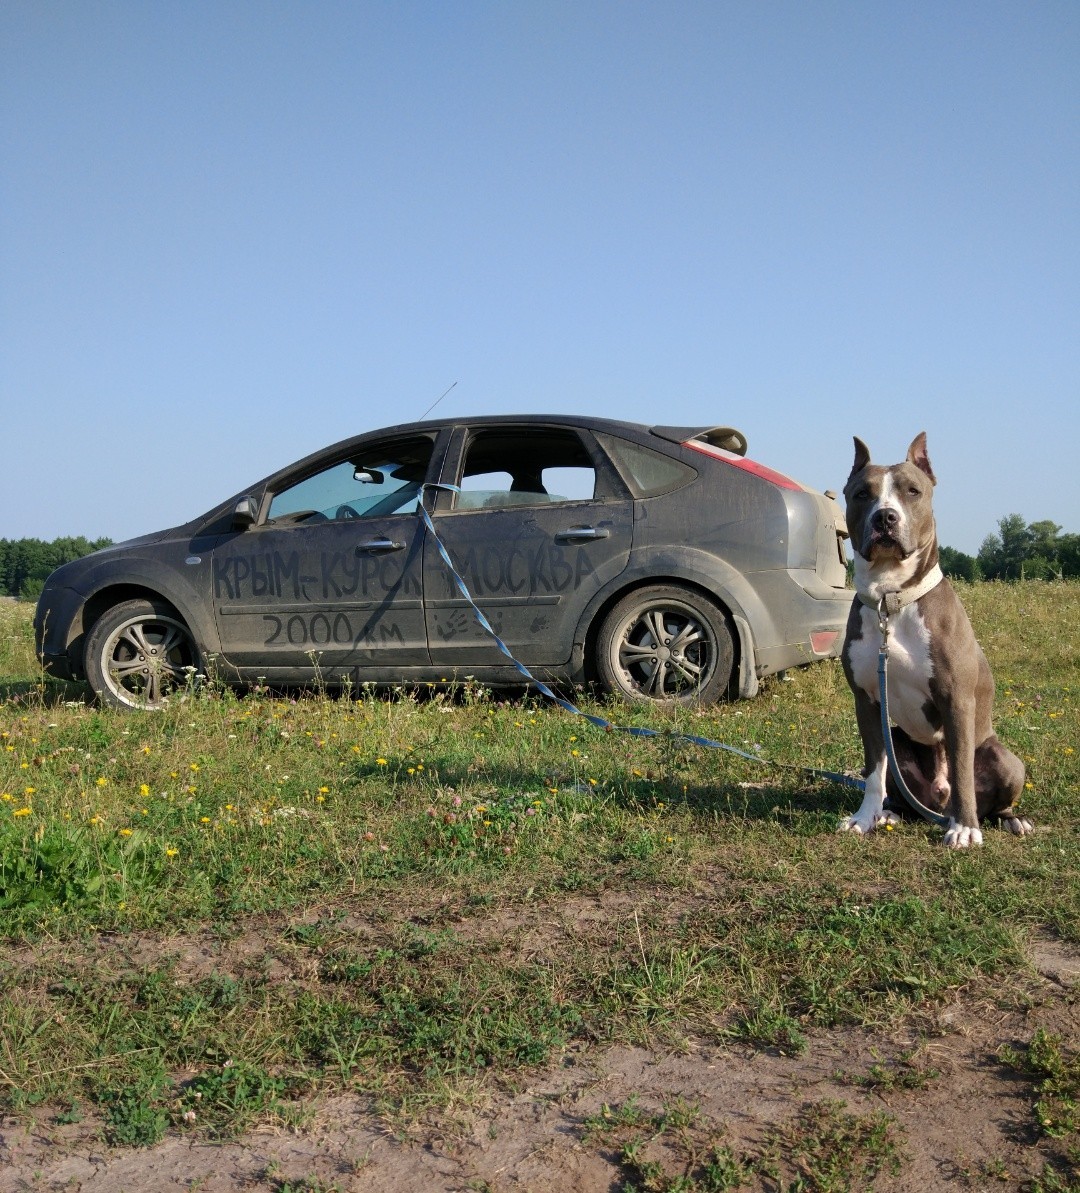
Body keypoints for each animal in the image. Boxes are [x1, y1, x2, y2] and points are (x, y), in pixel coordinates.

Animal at [840, 434, 1031, 844]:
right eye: (862, 494)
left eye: (912, 491)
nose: (885, 517)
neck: (891, 600)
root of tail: (935, 804)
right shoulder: (866, 701)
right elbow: (873, 771)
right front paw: (864, 818)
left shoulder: (956, 698)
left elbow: (961, 769)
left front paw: (965, 828)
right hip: (898, 741)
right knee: (895, 780)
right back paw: (890, 812)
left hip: (1004, 758)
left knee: (990, 794)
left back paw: (1008, 819)